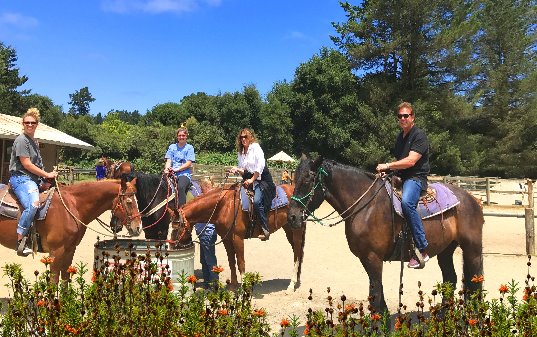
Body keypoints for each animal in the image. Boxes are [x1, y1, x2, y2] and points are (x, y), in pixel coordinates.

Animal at [0, 178, 141, 280]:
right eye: (129, 202)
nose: (138, 228)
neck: (71, 206)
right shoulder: (56, 251)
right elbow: (54, 281)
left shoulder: (70, 249)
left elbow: (65, 278)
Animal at [172, 182, 306, 290]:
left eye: (176, 227)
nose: (173, 246)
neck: (224, 206)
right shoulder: (226, 239)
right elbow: (231, 261)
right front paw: (233, 286)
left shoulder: (238, 238)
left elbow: (241, 262)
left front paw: (243, 288)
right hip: (289, 229)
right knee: (298, 252)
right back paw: (297, 279)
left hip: (297, 230)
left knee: (297, 253)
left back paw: (291, 284)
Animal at [286, 156, 484, 314]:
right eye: (294, 179)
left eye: (308, 179)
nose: (292, 217)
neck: (365, 206)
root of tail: (471, 198)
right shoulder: (366, 259)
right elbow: (378, 295)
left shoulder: (373, 258)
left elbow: (375, 296)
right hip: (446, 251)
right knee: (450, 279)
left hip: (472, 249)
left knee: (476, 281)